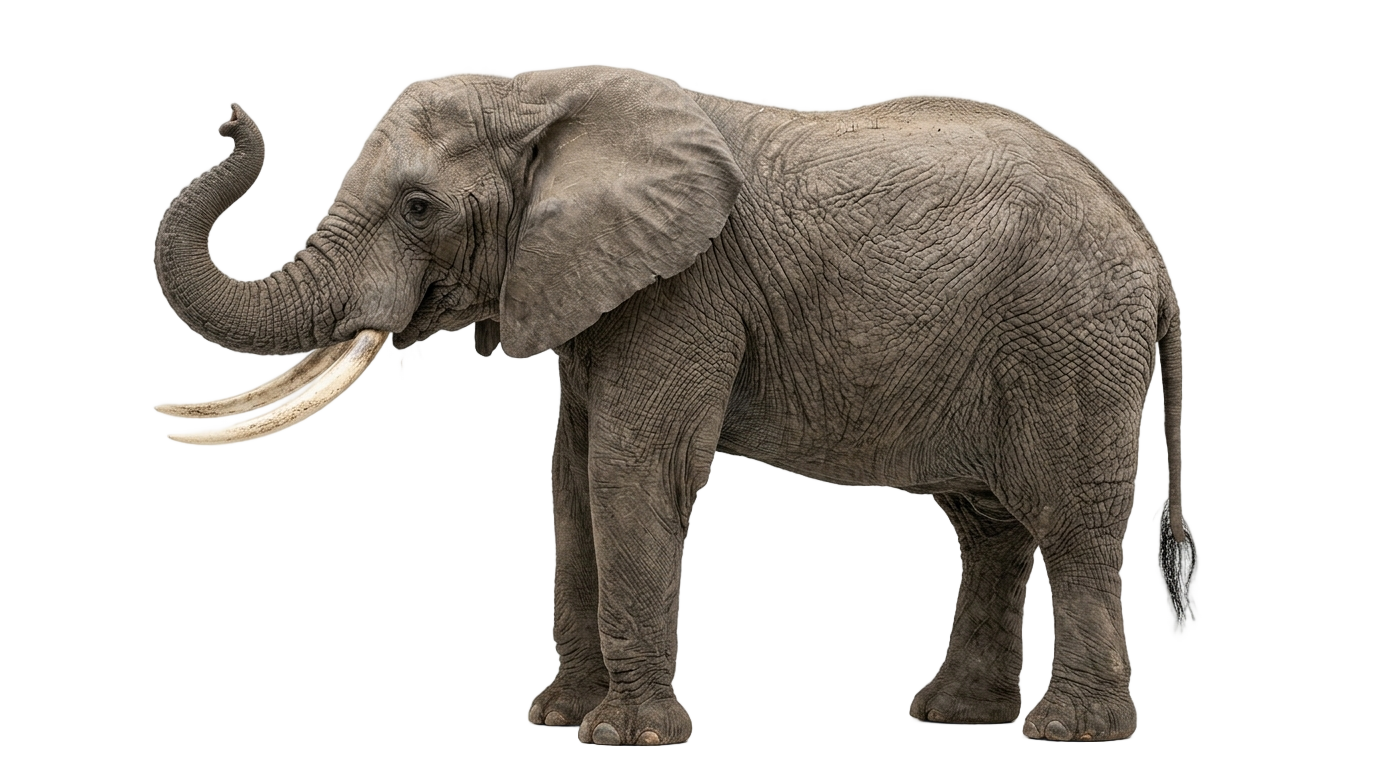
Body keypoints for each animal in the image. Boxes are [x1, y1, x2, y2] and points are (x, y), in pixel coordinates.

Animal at [152, 67, 1193, 744]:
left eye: (417, 207)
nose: (231, 121)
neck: (548, 94)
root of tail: (1148, 244)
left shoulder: (687, 292)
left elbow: (631, 475)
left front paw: (631, 737)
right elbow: (572, 484)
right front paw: (558, 720)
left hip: (1071, 339)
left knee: (1069, 523)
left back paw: (1071, 731)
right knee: (989, 523)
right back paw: (957, 716)